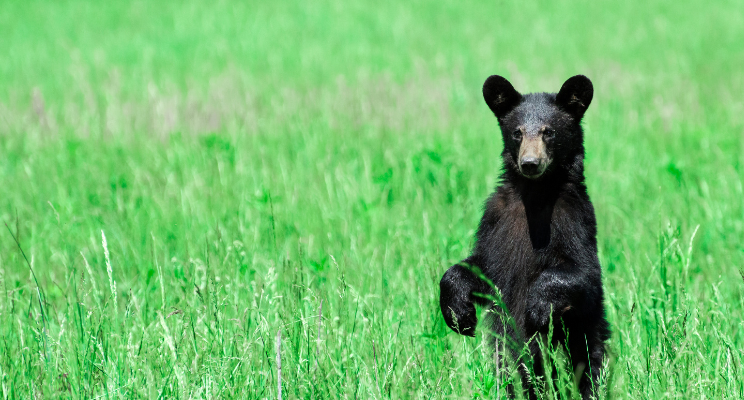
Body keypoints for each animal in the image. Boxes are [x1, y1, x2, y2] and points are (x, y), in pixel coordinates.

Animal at [439, 75, 610, 399]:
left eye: (549, 131)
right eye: (517, 132)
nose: (530, 163)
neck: (535, 195)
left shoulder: (575, 219)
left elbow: (584, 274)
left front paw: (539, 307)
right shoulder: (495, 221)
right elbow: (480, 266)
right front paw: (459, 313)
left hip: (586, 344)